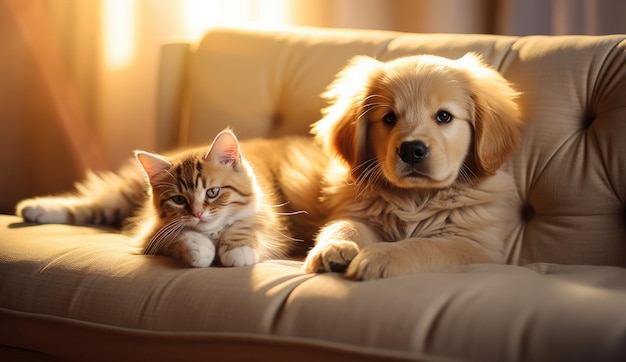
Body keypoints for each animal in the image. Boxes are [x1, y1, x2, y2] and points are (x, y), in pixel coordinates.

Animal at [16, 129, 290, 266]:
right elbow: (180, 236)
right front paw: (199, 249)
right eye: (179, 200)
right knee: (87, 205)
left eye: (212, 192)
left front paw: (237, 250)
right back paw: (33, 208)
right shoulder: (151, 234)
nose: (198, 213)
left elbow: (243, 226)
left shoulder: (269, 220)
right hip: (119, 200)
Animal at [302, 53, 520, 280]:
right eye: (389, 118)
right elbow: (345, 225)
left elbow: (425, 245)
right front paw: (334, 246)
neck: (415, 196)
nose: (411, 150)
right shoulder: (360, 214)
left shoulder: (475, 245)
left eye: (444, 116)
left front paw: (383, 254)